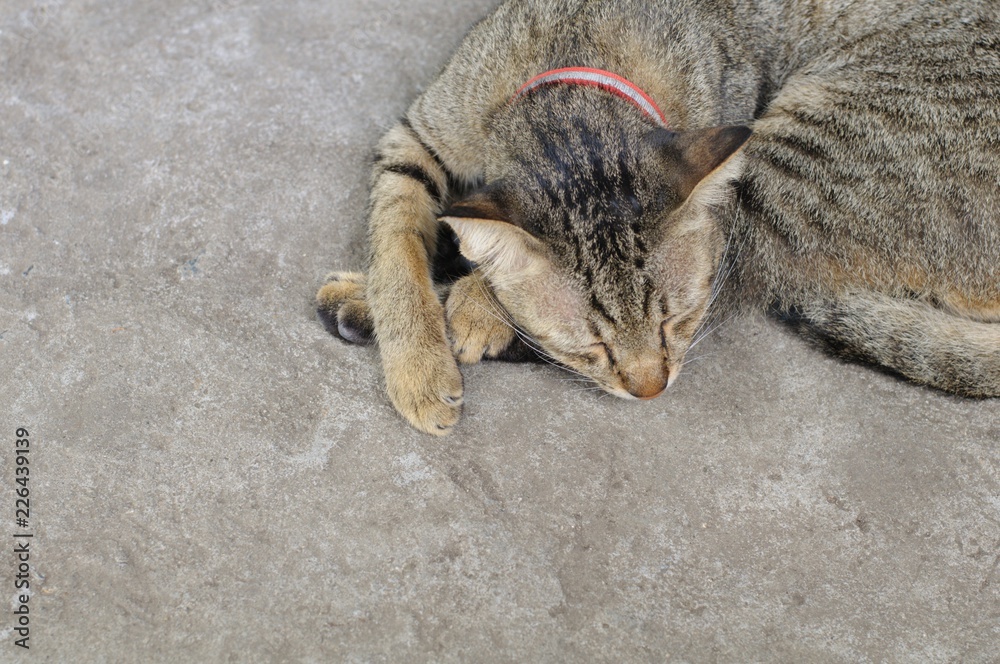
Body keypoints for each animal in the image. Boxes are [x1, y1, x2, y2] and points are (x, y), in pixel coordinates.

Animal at [318, 0, 1000, 434]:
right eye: (593, 344)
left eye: (675, 320)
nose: (649, 390)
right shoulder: (415, 139)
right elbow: (394, 241)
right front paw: (416, 360)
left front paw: (474, 307)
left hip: (795, 163)